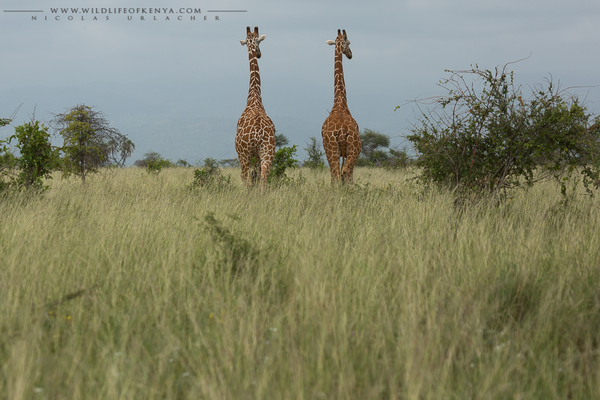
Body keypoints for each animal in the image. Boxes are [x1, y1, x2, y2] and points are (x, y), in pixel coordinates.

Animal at [234, 25, 276, 188]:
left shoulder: (243, 153)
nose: (259, 54)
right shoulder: (258, 155)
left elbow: (248, 179)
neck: (254, 97)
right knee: (263, 178)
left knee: (246, 179)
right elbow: (257, 178)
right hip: (267, 152)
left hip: (245, 154)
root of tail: (258, 133)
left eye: (259, 41)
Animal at [322, 28, 364, 184]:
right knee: (345, 172)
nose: (350, 54)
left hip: (332, 151)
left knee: (336, 174)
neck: (340, 101)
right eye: (349, 42)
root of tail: (341, 131)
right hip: (354, 150)